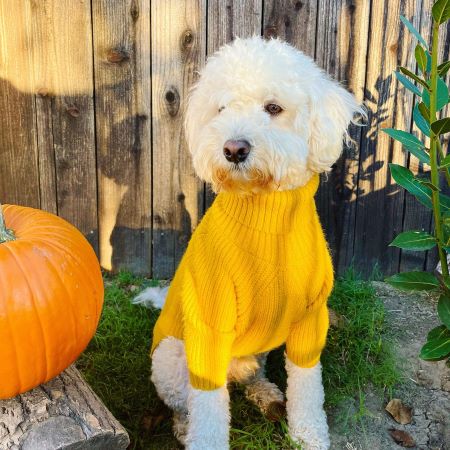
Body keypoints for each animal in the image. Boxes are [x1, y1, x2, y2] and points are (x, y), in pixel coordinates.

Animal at [135, 36, 364, 450]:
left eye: (273, 108)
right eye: (221, 109)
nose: (233, 149)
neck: (267, 216)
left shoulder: (310, 318)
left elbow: (308, 386)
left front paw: (309, 434)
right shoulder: (209, 329)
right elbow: (208, 411)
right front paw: (203, 440)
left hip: (260, 348)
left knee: (252, 376)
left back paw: (267, 394)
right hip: (171, 359)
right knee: (185, 403)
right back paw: (184, 426)